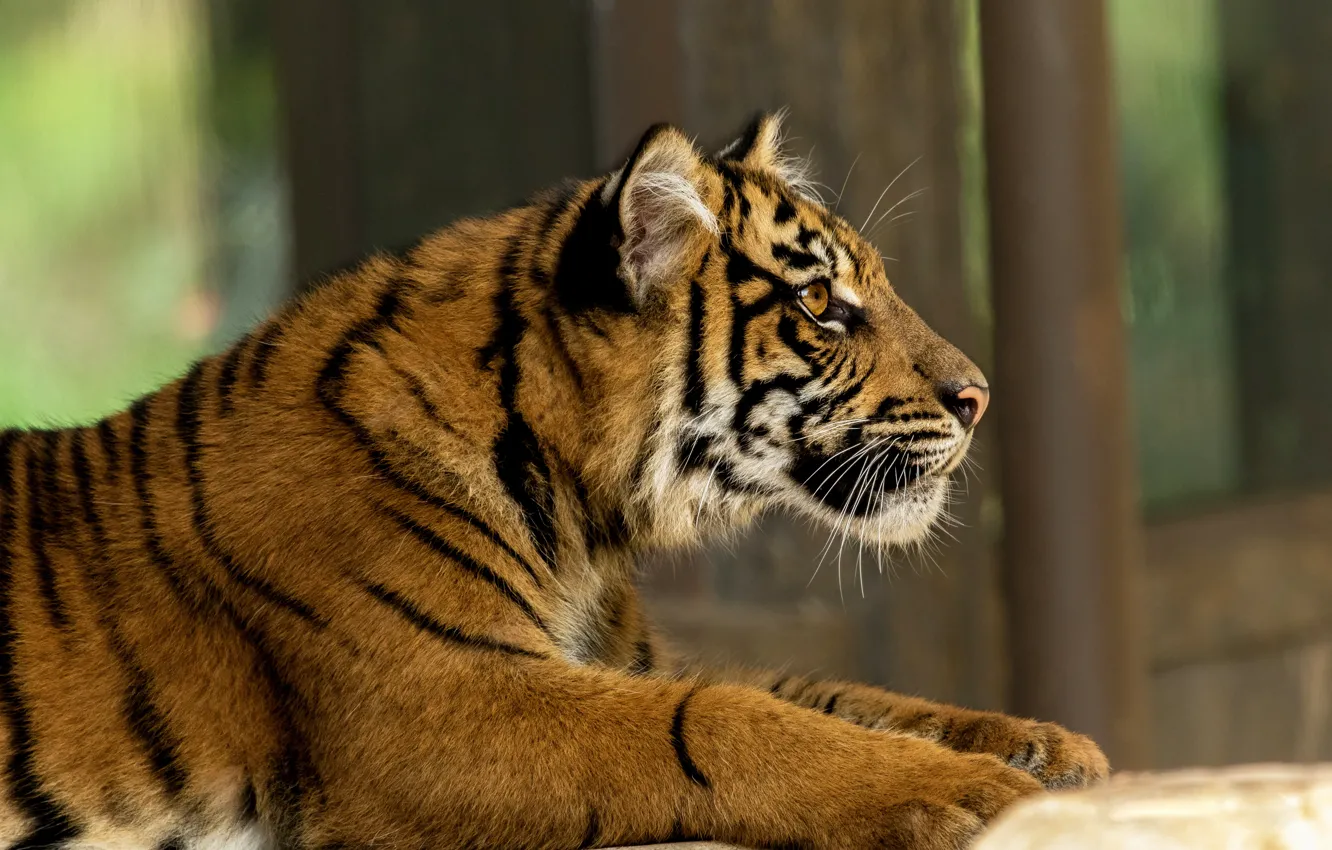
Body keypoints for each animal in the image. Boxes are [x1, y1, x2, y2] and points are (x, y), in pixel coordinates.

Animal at [0, 112, 1107, 850]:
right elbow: (727, 719)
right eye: (819, 305)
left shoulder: (621, 660)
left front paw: (1046, 749)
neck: (583, 520)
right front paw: (979, 792)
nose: (979, 397)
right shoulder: (435, 705)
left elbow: (835, 692)